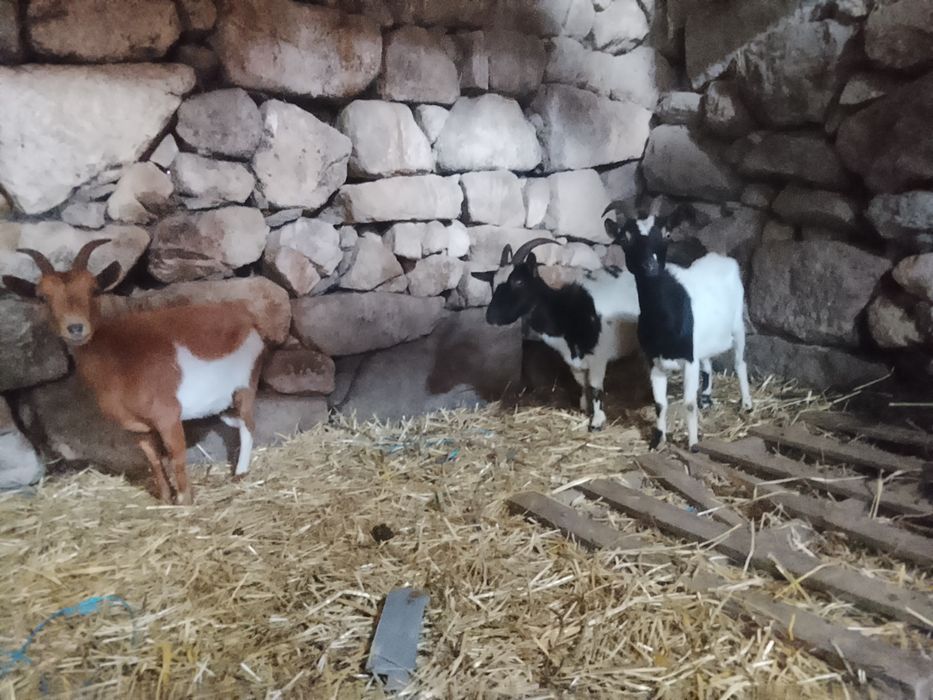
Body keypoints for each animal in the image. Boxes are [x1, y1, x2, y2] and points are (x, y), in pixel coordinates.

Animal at [2, 240, 266, 505]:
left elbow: (177, 458)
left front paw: (185, 502)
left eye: (93, 290)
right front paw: (165, 499)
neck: (118, 359)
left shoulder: (168, 416)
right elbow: (154, 460)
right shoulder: (138, 427)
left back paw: (240, 473)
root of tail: (246, 317)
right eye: (43, 297)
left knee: (249, 425)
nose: (76, 328)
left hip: (246, 385)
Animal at [472, 239, 640, 431]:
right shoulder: (573, 359)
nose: (491, 317)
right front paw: (584, 407)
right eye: (492, 284)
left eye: (519, 281)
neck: (565, 311)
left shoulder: (598, 356)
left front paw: (597, 421)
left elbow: (595, 387)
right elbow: (583, 383)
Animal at [603, 202, 752, 452]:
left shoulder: (688, 360)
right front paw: (658, 439)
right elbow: (660, 404)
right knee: (708, 363)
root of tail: (722, 259)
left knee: (740, 363)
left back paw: (747, 404)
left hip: (737, 325)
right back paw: (707, 398)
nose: (649, 266)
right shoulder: (654, 361)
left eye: (667, 234)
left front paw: (693, 444)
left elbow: (688, 403)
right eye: (625, 238)